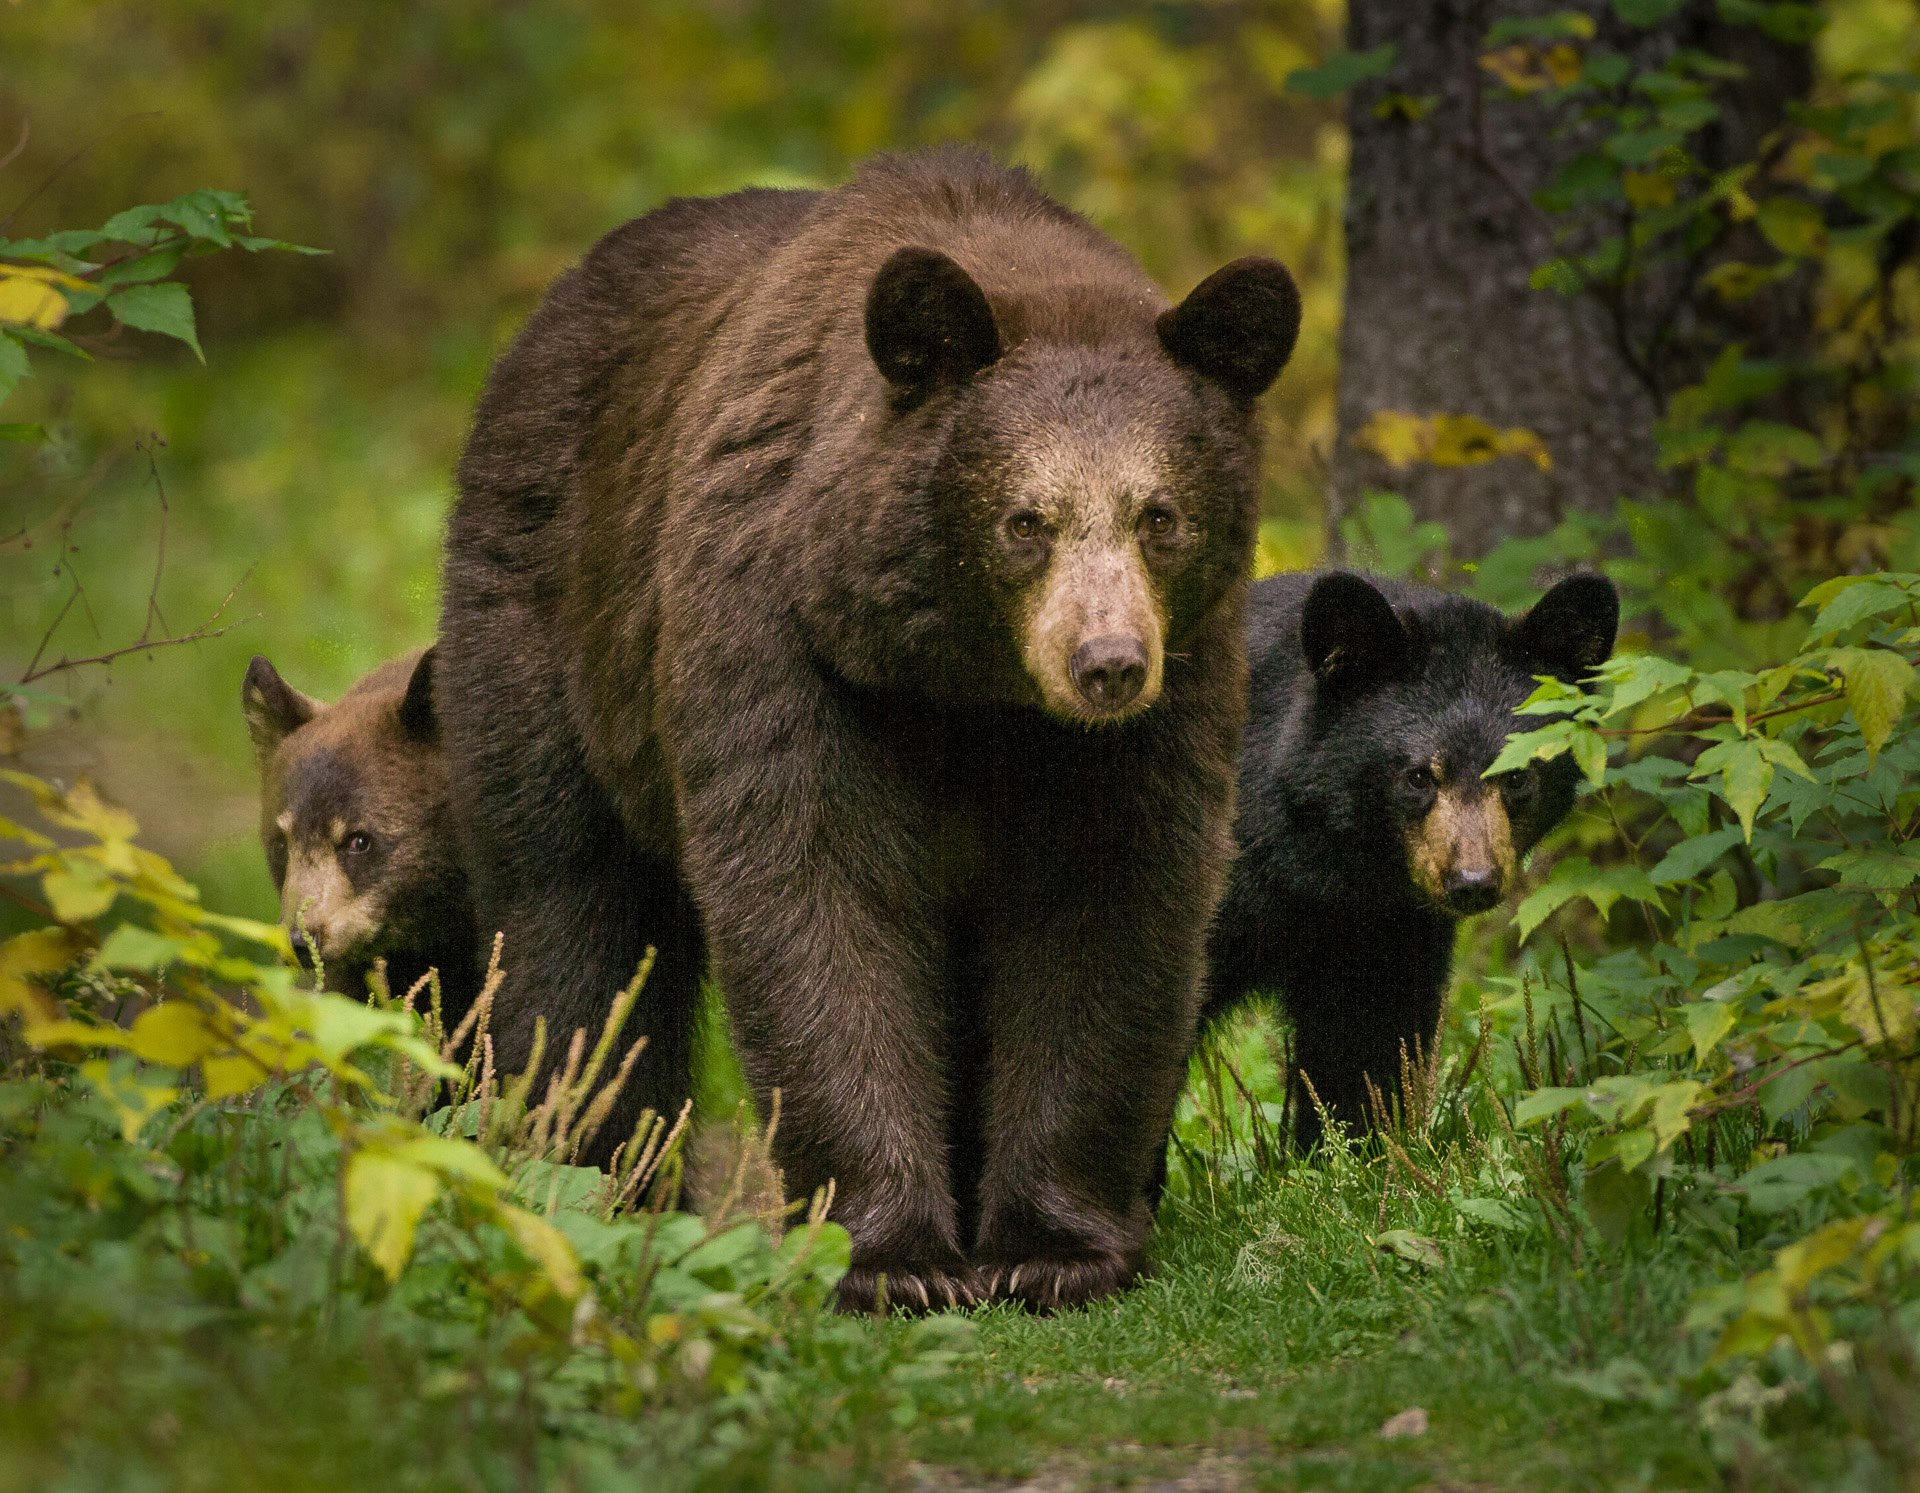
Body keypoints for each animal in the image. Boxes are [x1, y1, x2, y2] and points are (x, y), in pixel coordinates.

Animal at [441, 148, 1297, 1304]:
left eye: (1159, 515)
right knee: (568, 906)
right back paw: (592, 1172)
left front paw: (1052, 1246)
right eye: (1025, 519)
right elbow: (817, 887)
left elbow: (1107, 899)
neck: (966, 688)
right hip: (549, 624)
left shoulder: (1167, 696)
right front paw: (894, 1257)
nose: (1109, 664)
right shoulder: (782, 628)